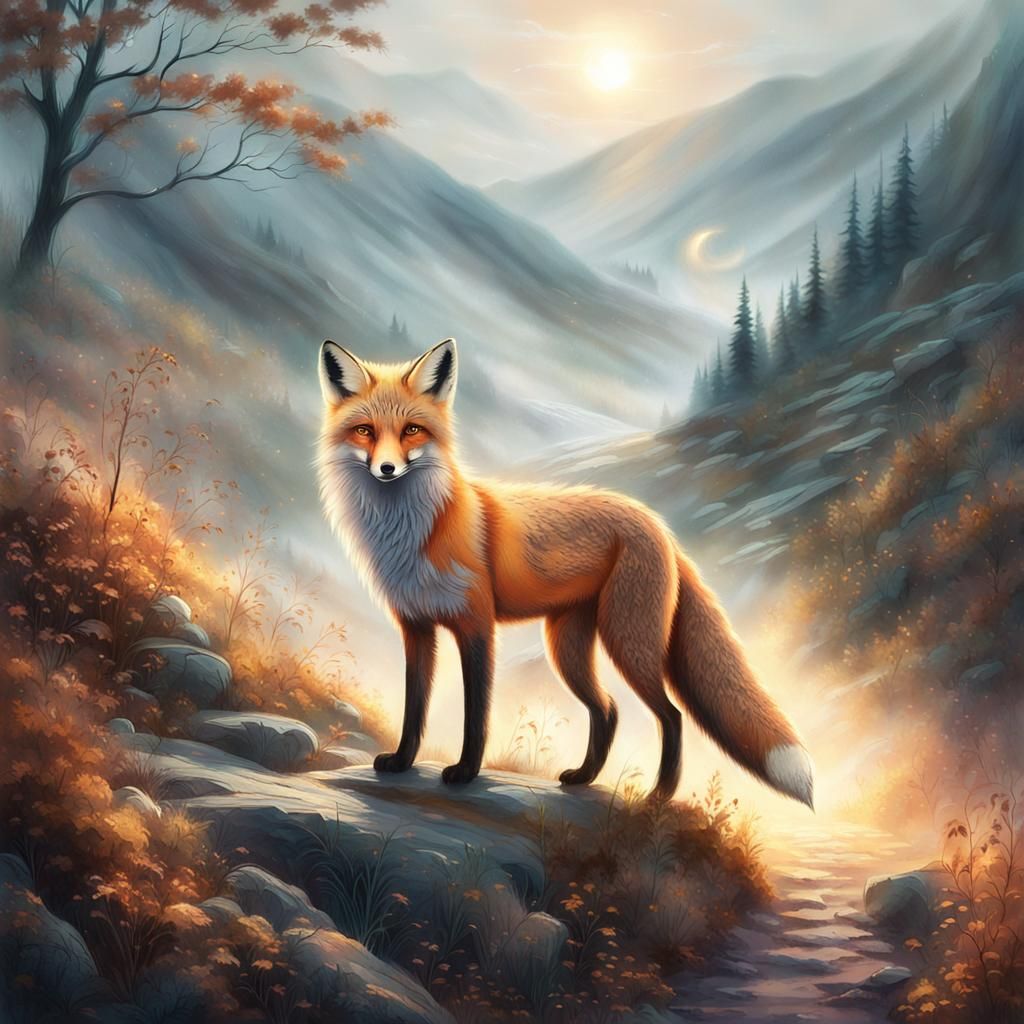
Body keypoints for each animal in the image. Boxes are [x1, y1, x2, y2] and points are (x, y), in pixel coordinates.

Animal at [316, 337, 814, 807]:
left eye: (412, 431)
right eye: (365, 431)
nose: (386, 468)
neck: (414, 533)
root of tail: (657, 523)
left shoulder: (476, 625)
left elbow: (476, 712)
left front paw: (466, 772)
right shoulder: (416, 627)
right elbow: (414, 708)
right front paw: (402, 762)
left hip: (628, 640)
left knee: (670, 715)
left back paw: (659, 796)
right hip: (568, 648)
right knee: (608, 709)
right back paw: (585, 777)